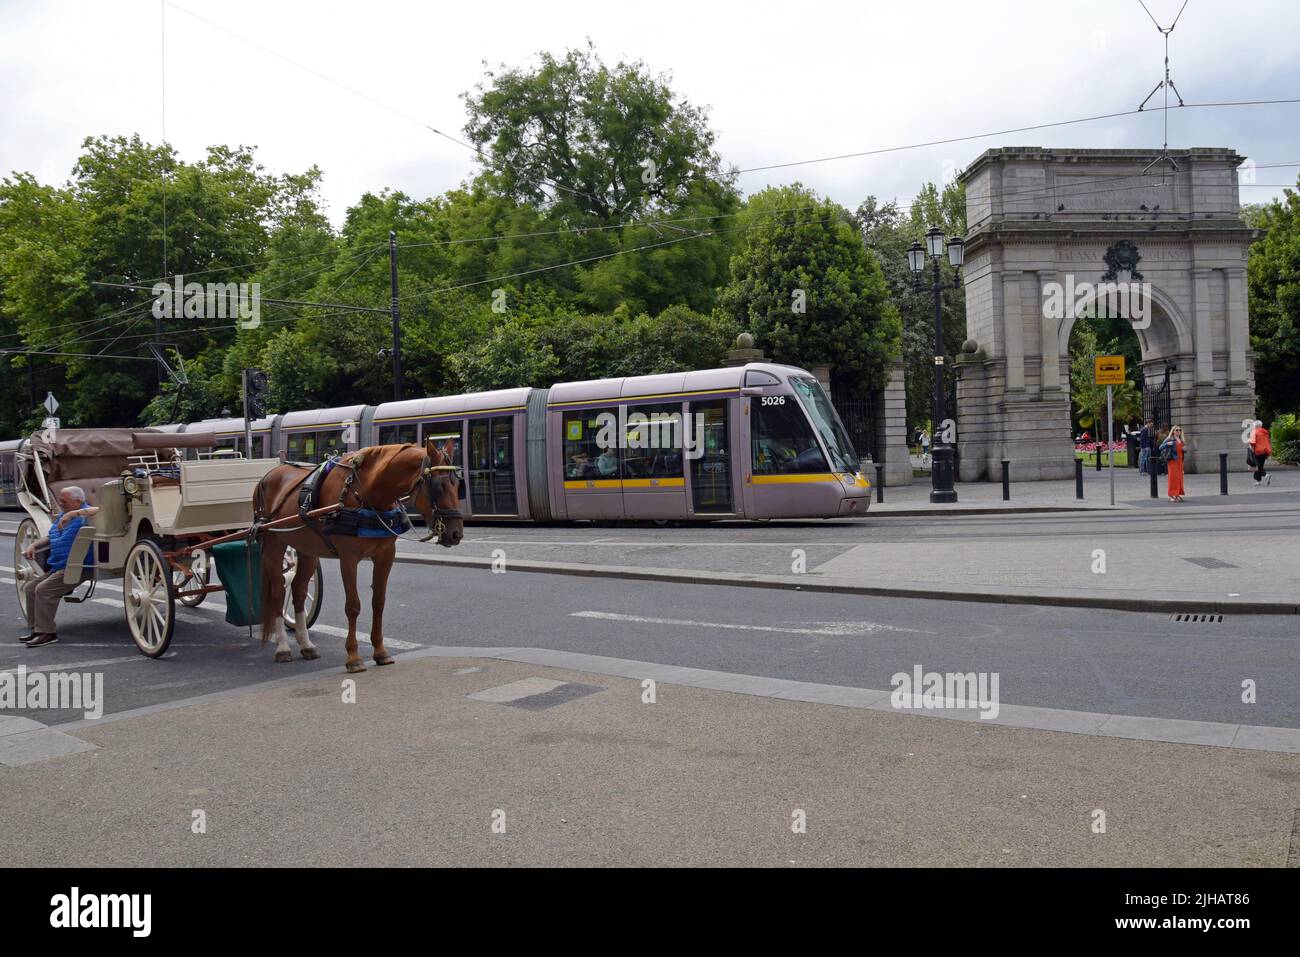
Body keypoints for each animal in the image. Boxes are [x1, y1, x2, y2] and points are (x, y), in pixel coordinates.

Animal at [252, 438, 463, 673]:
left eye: (457, 484)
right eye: (439, 486)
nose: (456, 534)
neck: (365, 494)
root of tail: (268, 475)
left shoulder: (385, 556)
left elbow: (378, 602)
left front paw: (380, 652)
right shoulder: (348, 558)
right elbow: (353, 606)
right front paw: (353, 657)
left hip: (307, 550)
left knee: (298, 591)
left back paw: (306, 644)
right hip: (274, 545)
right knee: (278, 593)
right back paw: (282, 647)